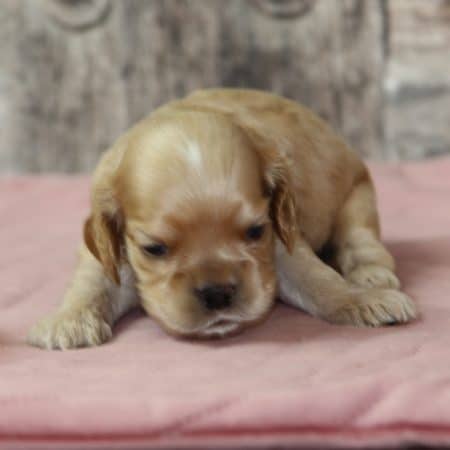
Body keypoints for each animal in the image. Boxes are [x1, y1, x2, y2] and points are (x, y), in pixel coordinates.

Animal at [28, 87, 416, 348]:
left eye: (255, 231)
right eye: (155, 249)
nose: (217, 294)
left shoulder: (281, 244)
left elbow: (319, 280)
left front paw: (362, 300)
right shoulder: (107, 248)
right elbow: (90, 283)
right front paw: (69, 320)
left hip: (359, 198)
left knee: (361, 240)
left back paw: (372, 275)